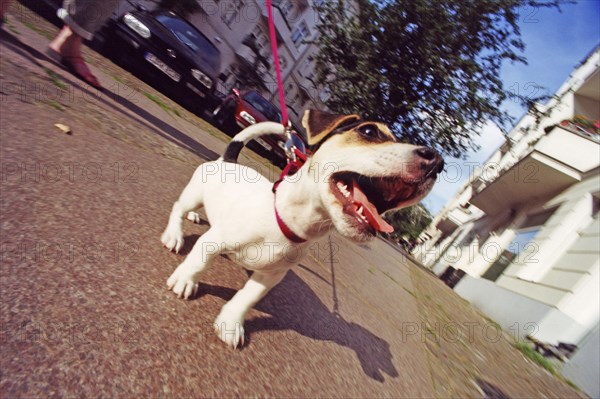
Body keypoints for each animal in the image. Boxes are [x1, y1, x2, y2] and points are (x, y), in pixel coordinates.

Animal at [162, 110, 442, 350]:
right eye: (369, 130)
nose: (437, 161)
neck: (284, 222)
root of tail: (228, 160)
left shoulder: (271, 276)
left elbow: (247, 297)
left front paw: (231, 323)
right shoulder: (214, 241)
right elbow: (198, 262)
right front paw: (185, 280)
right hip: (193, 195)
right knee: (178, 208)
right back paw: (175, 234)